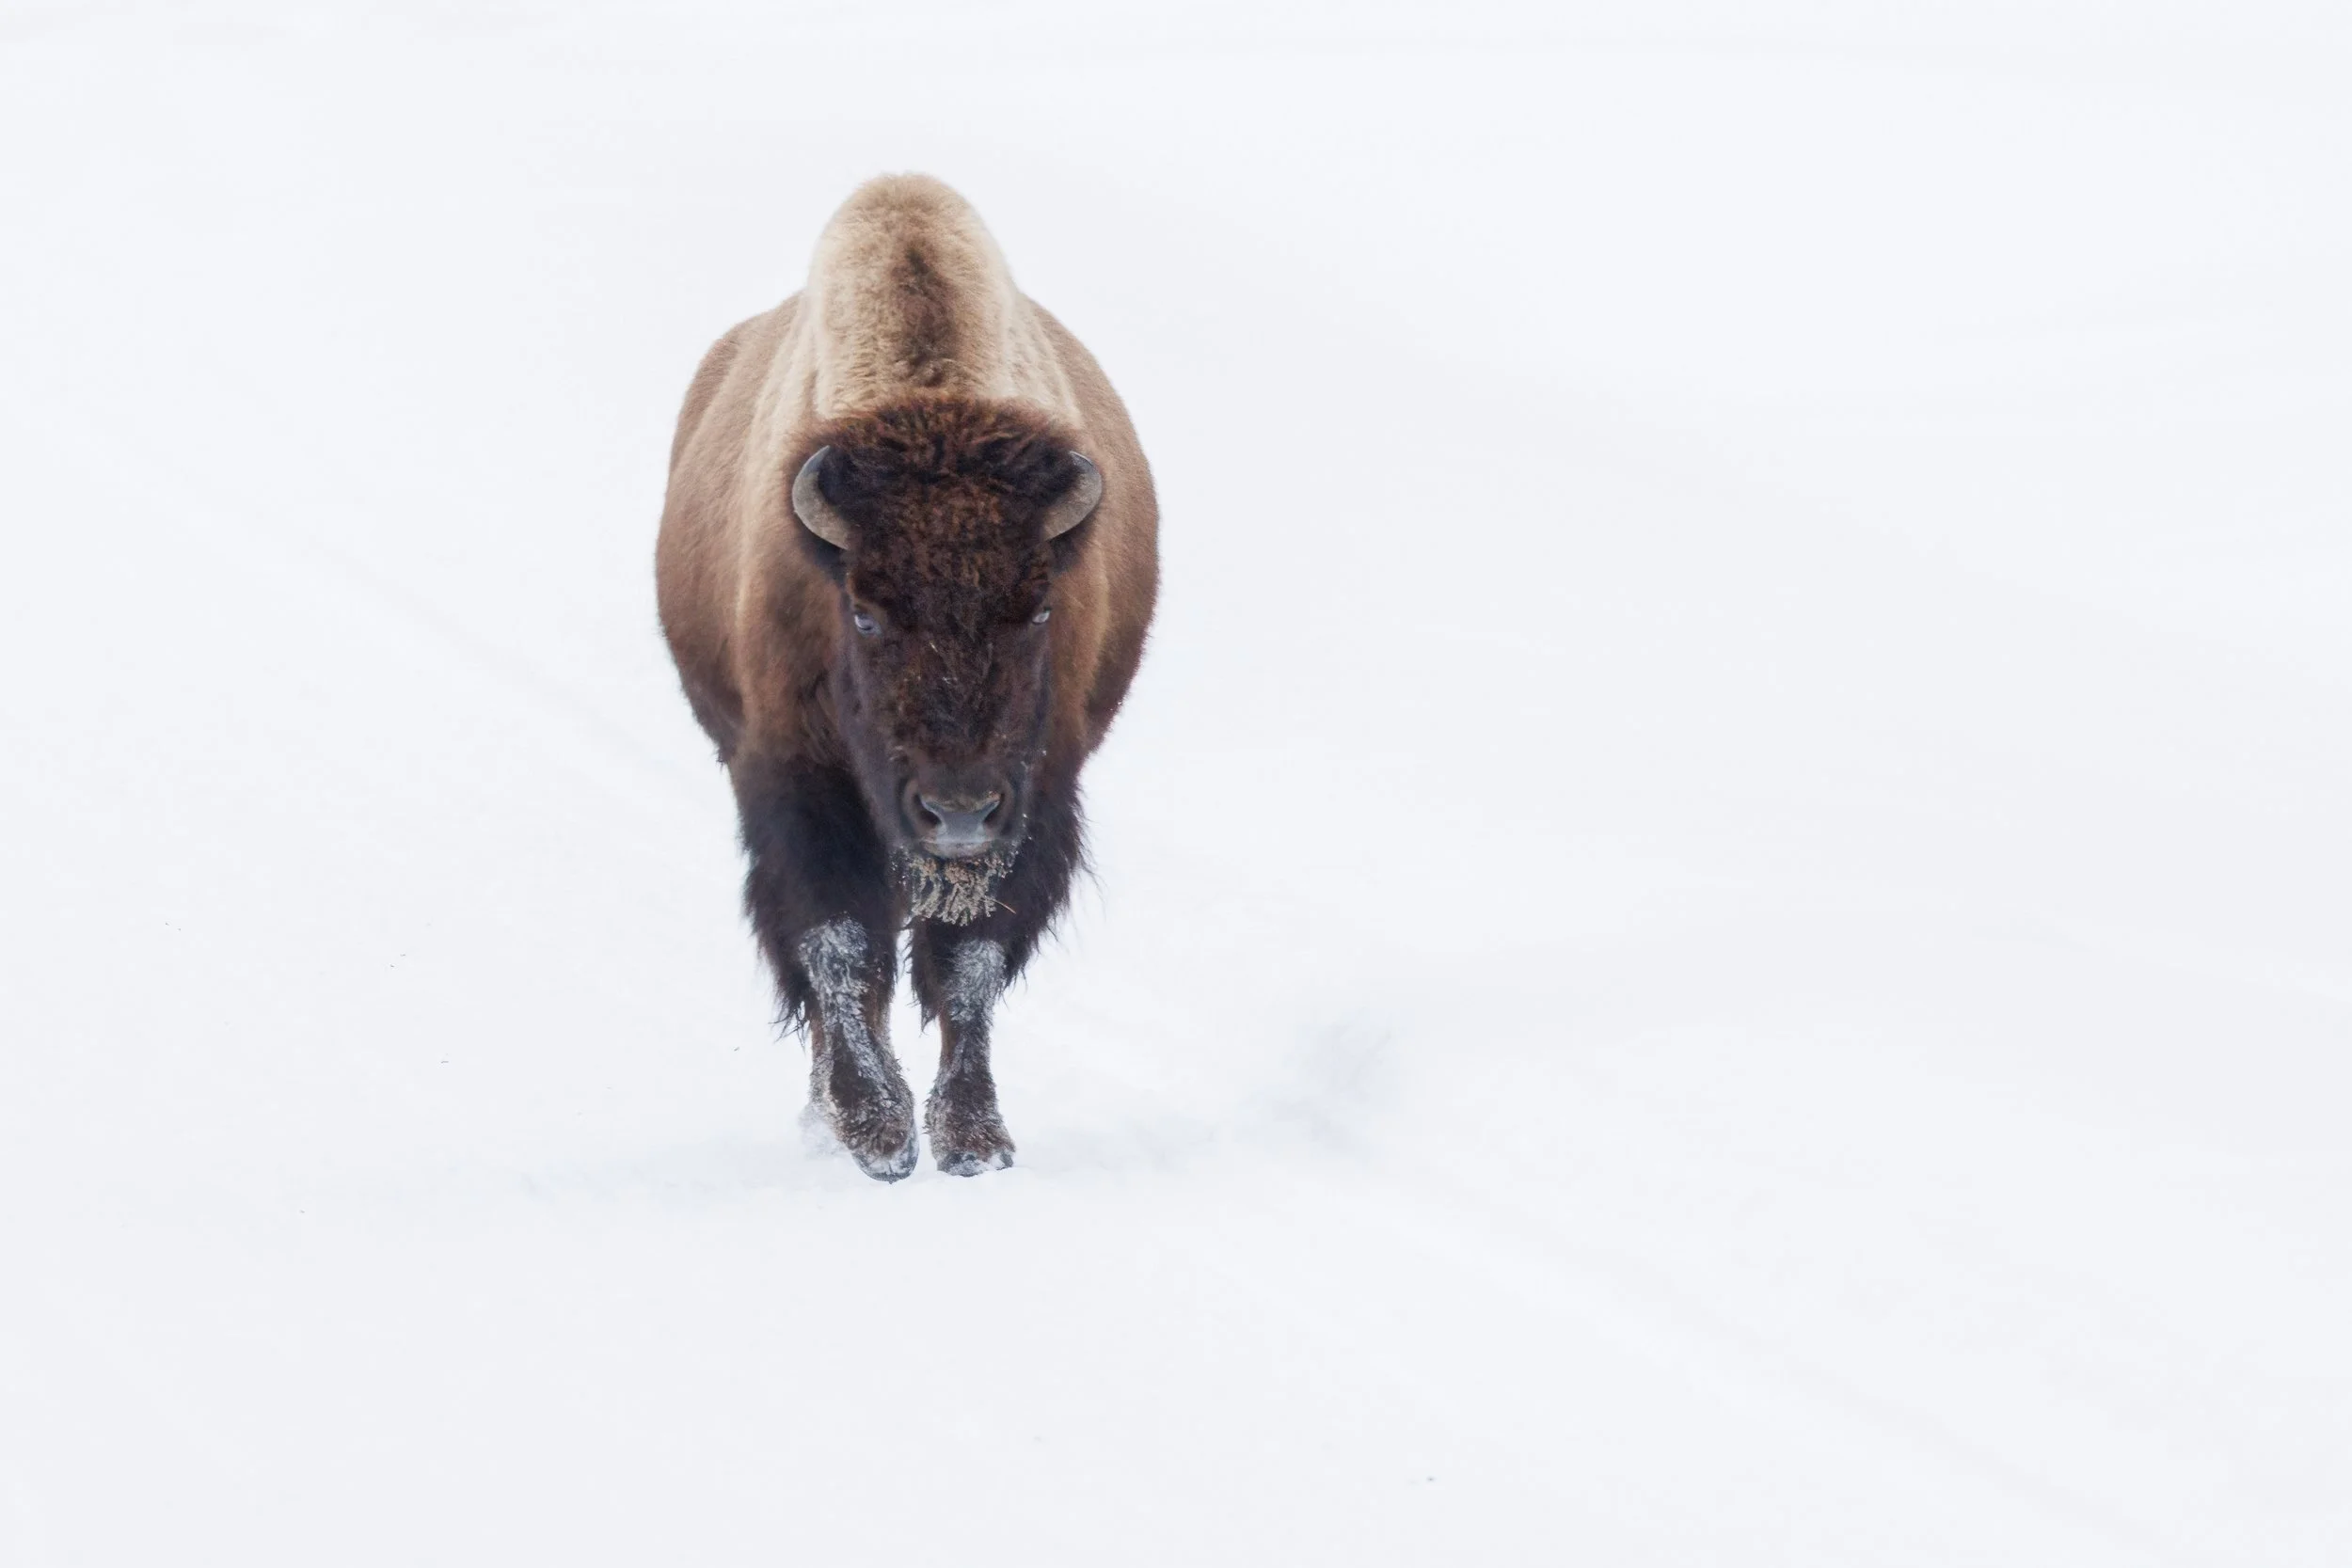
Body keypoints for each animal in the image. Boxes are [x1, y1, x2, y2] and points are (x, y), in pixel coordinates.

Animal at [656, 175, 1158, 1180]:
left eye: (1039, 610)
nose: (957, 811)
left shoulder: (1037, 793)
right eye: (864, 612)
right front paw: (874, 1131)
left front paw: (972, 1139)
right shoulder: (792, 777)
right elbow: (841, 946)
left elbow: (968, 963)